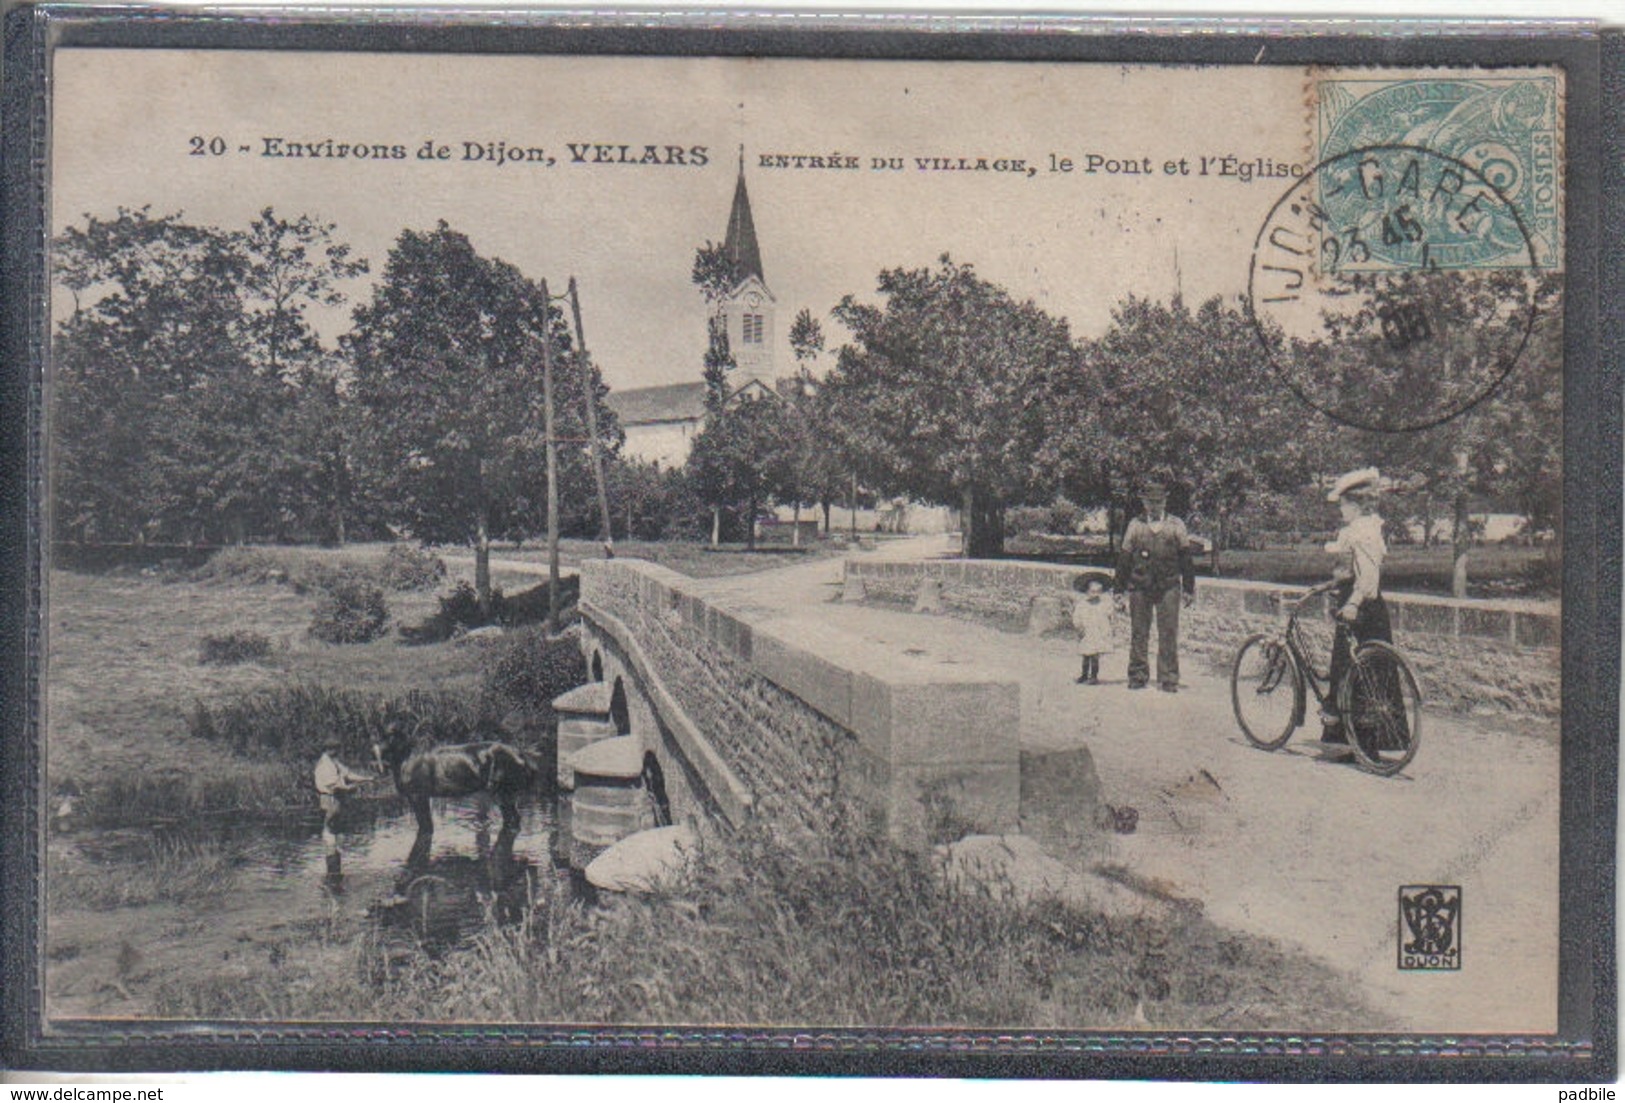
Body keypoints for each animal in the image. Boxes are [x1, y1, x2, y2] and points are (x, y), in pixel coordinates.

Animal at [370, 721, 542, 864]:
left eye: (392, 734)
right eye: (380, 734)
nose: (375, 750)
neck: (406, 757)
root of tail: (522, 754)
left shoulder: (419, 796)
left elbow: (426, 828)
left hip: (503, 793)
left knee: (513, 821)